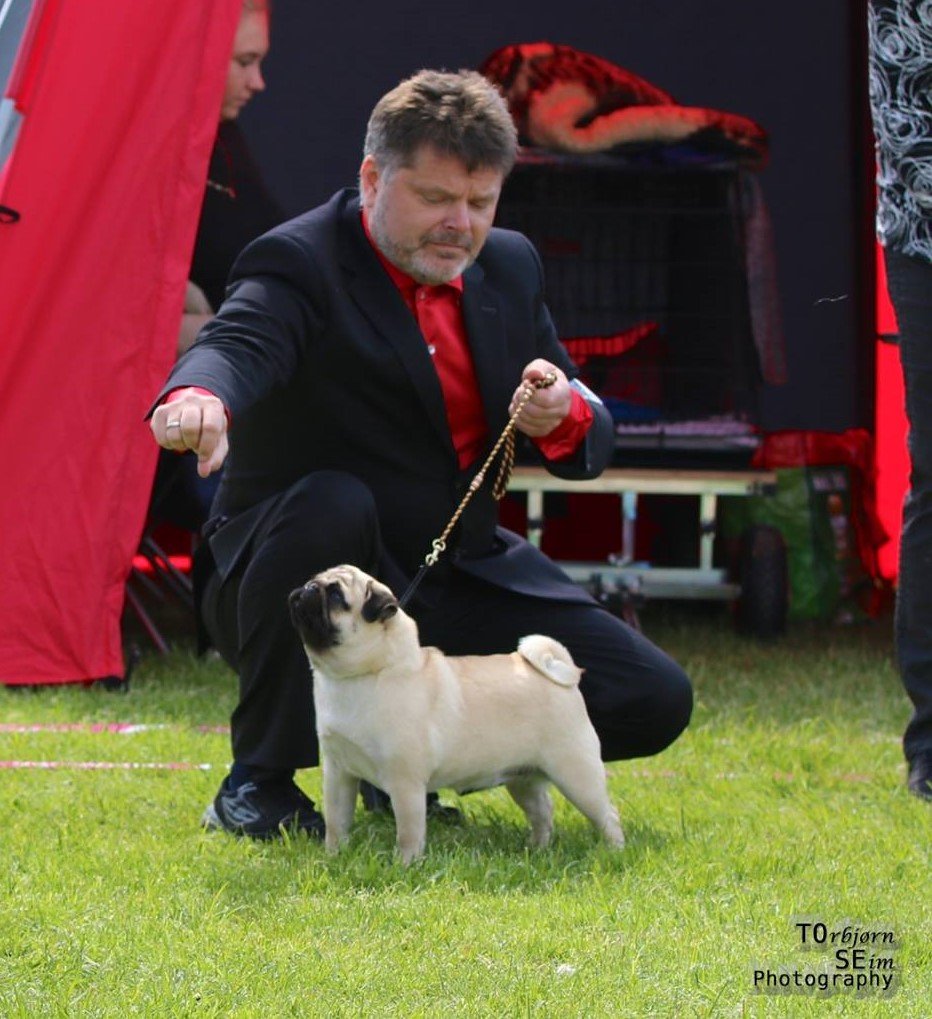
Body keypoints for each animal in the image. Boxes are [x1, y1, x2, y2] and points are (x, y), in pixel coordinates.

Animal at [288, 564, 624, 864]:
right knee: (543, 811)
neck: (361, 675)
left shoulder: (405, 782)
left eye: (336, 595)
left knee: (607, 815)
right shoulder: (339, 773)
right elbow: (337, 822)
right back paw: (538, 849)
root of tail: (558, 676)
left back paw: (613, 852)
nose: (308, 588)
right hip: (523, 778)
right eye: (314, 580)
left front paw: (405, 865)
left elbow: (408, 832)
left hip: (576, 774)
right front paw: (333, 856)